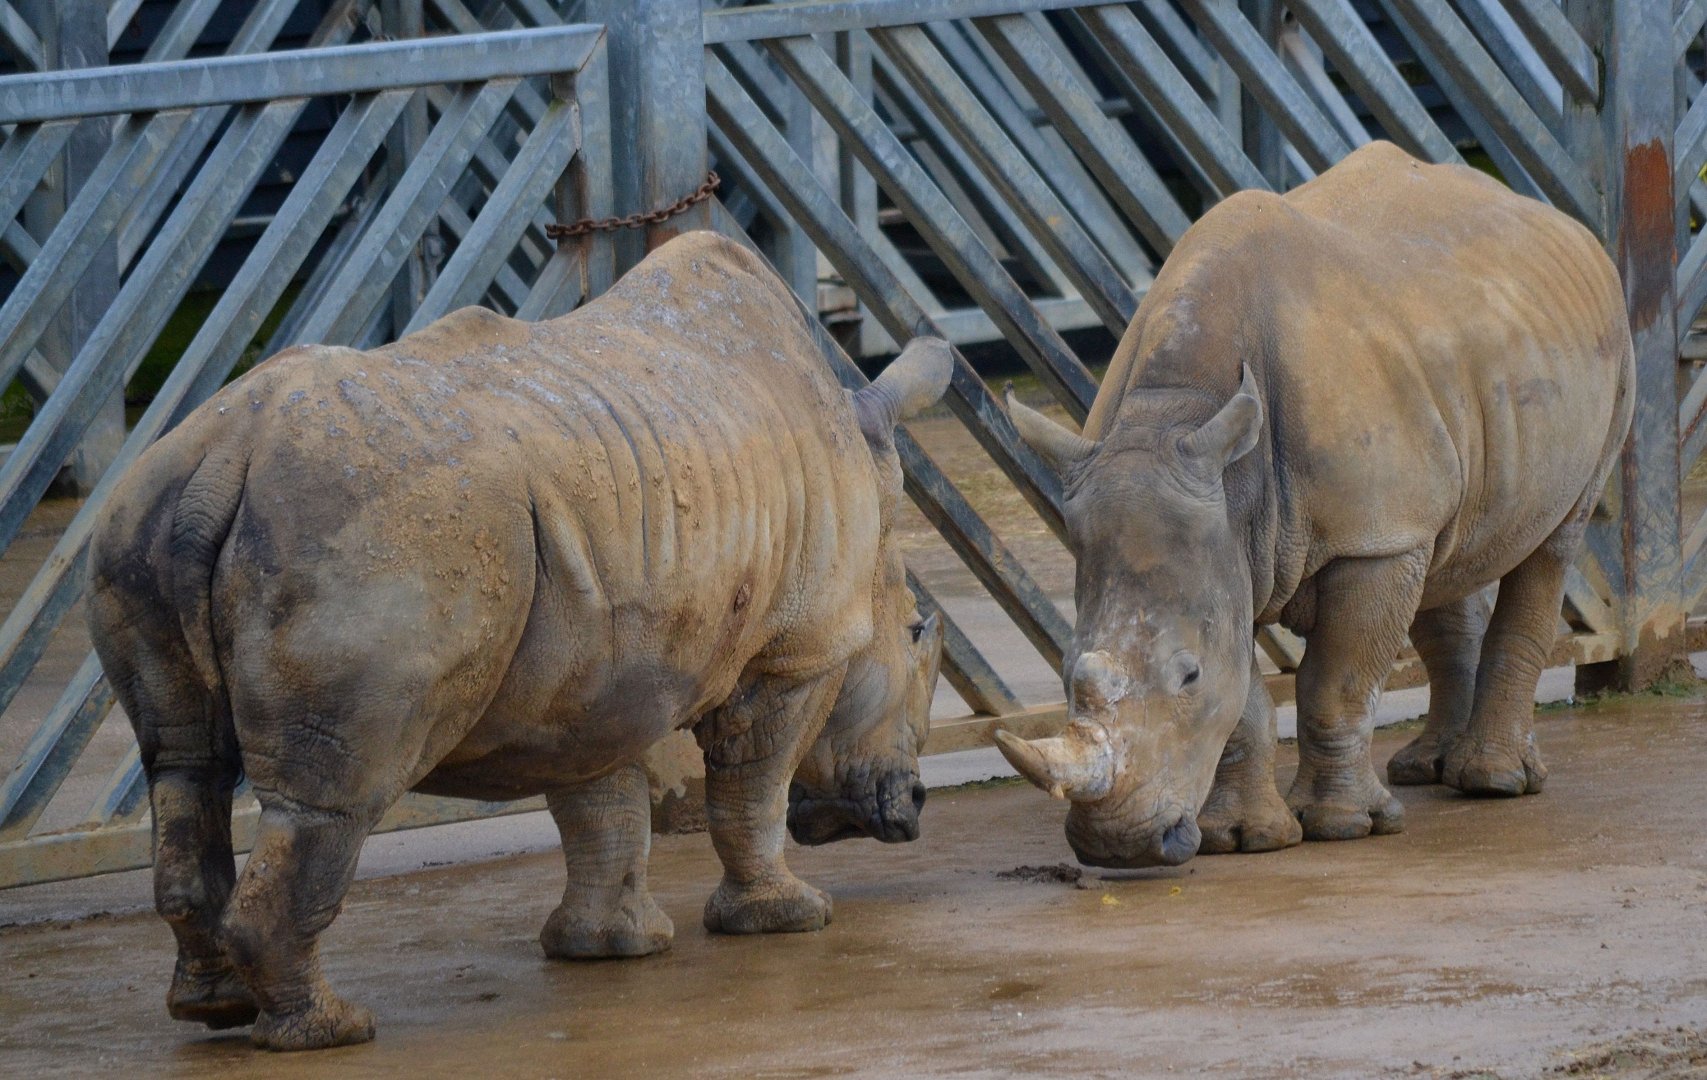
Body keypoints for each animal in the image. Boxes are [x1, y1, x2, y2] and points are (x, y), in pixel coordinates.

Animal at [86, 231, 948, 1051]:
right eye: (914, 635)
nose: (913, 805)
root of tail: (222, 462)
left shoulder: (596, 667)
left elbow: (600, 801)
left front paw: (606, 950)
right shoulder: (798, 647)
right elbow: (752, 784)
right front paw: (789, 918)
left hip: (144, 517)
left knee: (182, 767)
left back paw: (215, 1009)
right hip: (369, 535)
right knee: (331, 797)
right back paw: (330, 1031)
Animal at [996, 142, 1633, 868]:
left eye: (1186, 676)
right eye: (1066, 672)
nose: (1117, 848)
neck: (1175, 419)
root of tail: (1563, 223)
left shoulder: (1366, 540)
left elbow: (1336, 683)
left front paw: (1341, 826)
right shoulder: (1229, 540)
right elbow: (1243, 695)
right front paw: (1242, 838)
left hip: (1607, 354)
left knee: (1554, 539)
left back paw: (1493, 782)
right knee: (1445, 547)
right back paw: (1427, 769)